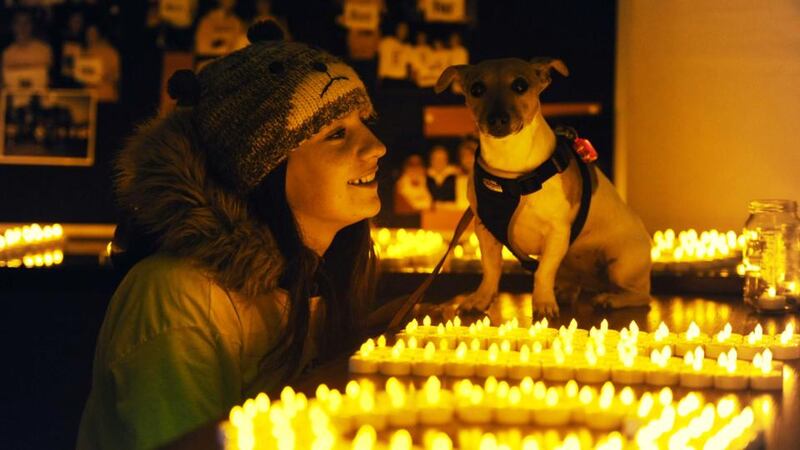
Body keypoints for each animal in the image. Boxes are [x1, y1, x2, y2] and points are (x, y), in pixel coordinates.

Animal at [434, 58, 652, 318]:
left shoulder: (557, 232)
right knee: (574, 284)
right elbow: (491, 269)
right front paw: (481, 299)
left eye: (520, 85)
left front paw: (543, 302)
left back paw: (610, 299)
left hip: (622, 264)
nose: (497, 119)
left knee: (640, 295)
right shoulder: (486, 231)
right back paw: (566, 292)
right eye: (476, 89)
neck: (510, 161)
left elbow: (544, 271)